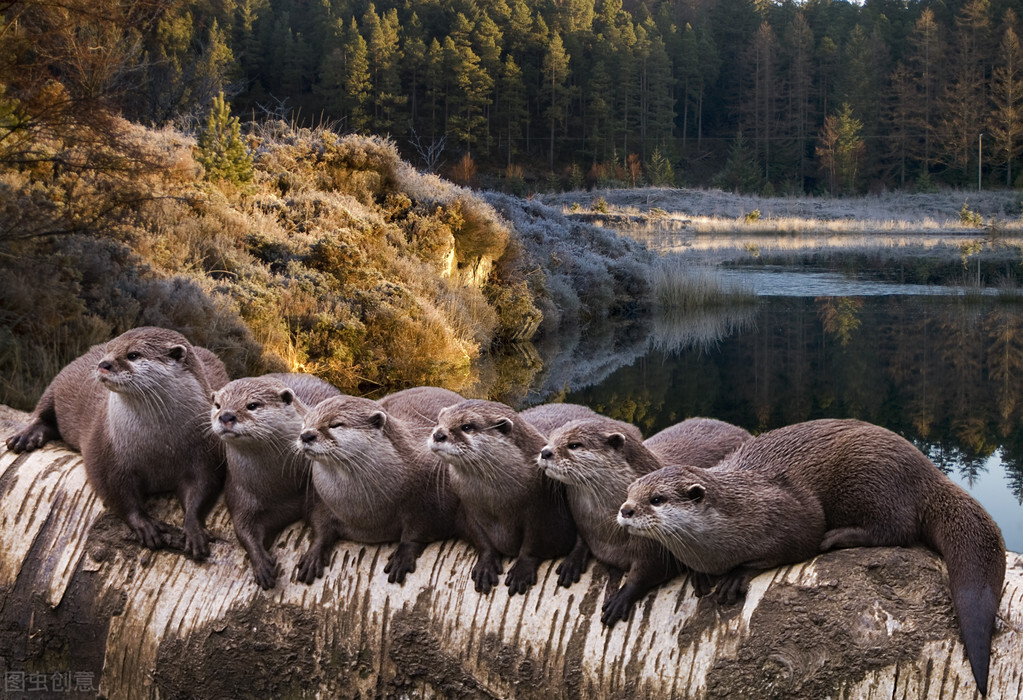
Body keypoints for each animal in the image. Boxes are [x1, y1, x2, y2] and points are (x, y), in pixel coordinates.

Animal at [3, 325, 228, 560]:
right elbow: (114, 489)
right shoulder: (105, 449)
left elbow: (203, 484)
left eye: (133, 355)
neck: (159, 446)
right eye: (109, 350)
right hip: (59, 381)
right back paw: (25, 437)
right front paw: (144, 524)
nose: (104, 364)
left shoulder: (204, 451)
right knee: (43, 409)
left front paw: (194, 530)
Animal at [209, 374, 341, 589]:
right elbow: (243, 528)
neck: (278, 487)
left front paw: (313, 555)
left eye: (252, 405)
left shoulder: (314, 485)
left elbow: (323, 518)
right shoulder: (239, 491)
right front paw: (261, 564)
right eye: (218, 405)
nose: (226, 416)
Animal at [296, 388, 464, 585]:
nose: (306, 435)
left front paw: (402, 557)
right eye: (305, 422)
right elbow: (319, 525)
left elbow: (420, 531)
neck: (364, 512)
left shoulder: (433, 502)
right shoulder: (322, 500)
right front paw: (313, 555)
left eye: (336, 424)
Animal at [427, 401, 581, 593]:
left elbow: (535, 544)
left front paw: (521, 571)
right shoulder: (469, 510)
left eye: (467, 426)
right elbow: (481, 539)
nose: (438, 434)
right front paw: (486, 566)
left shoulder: (544, 512)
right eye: (438, 421)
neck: (497, 503)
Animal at [617, 417, 1002, 695]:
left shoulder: (789, 513)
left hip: (870, 475)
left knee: (897, 529)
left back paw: (838, 537)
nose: (625, 510)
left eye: (656, 499)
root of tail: (928, 472)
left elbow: (798, 540)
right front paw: (700, 576)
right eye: (630, 491)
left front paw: (736, 575)